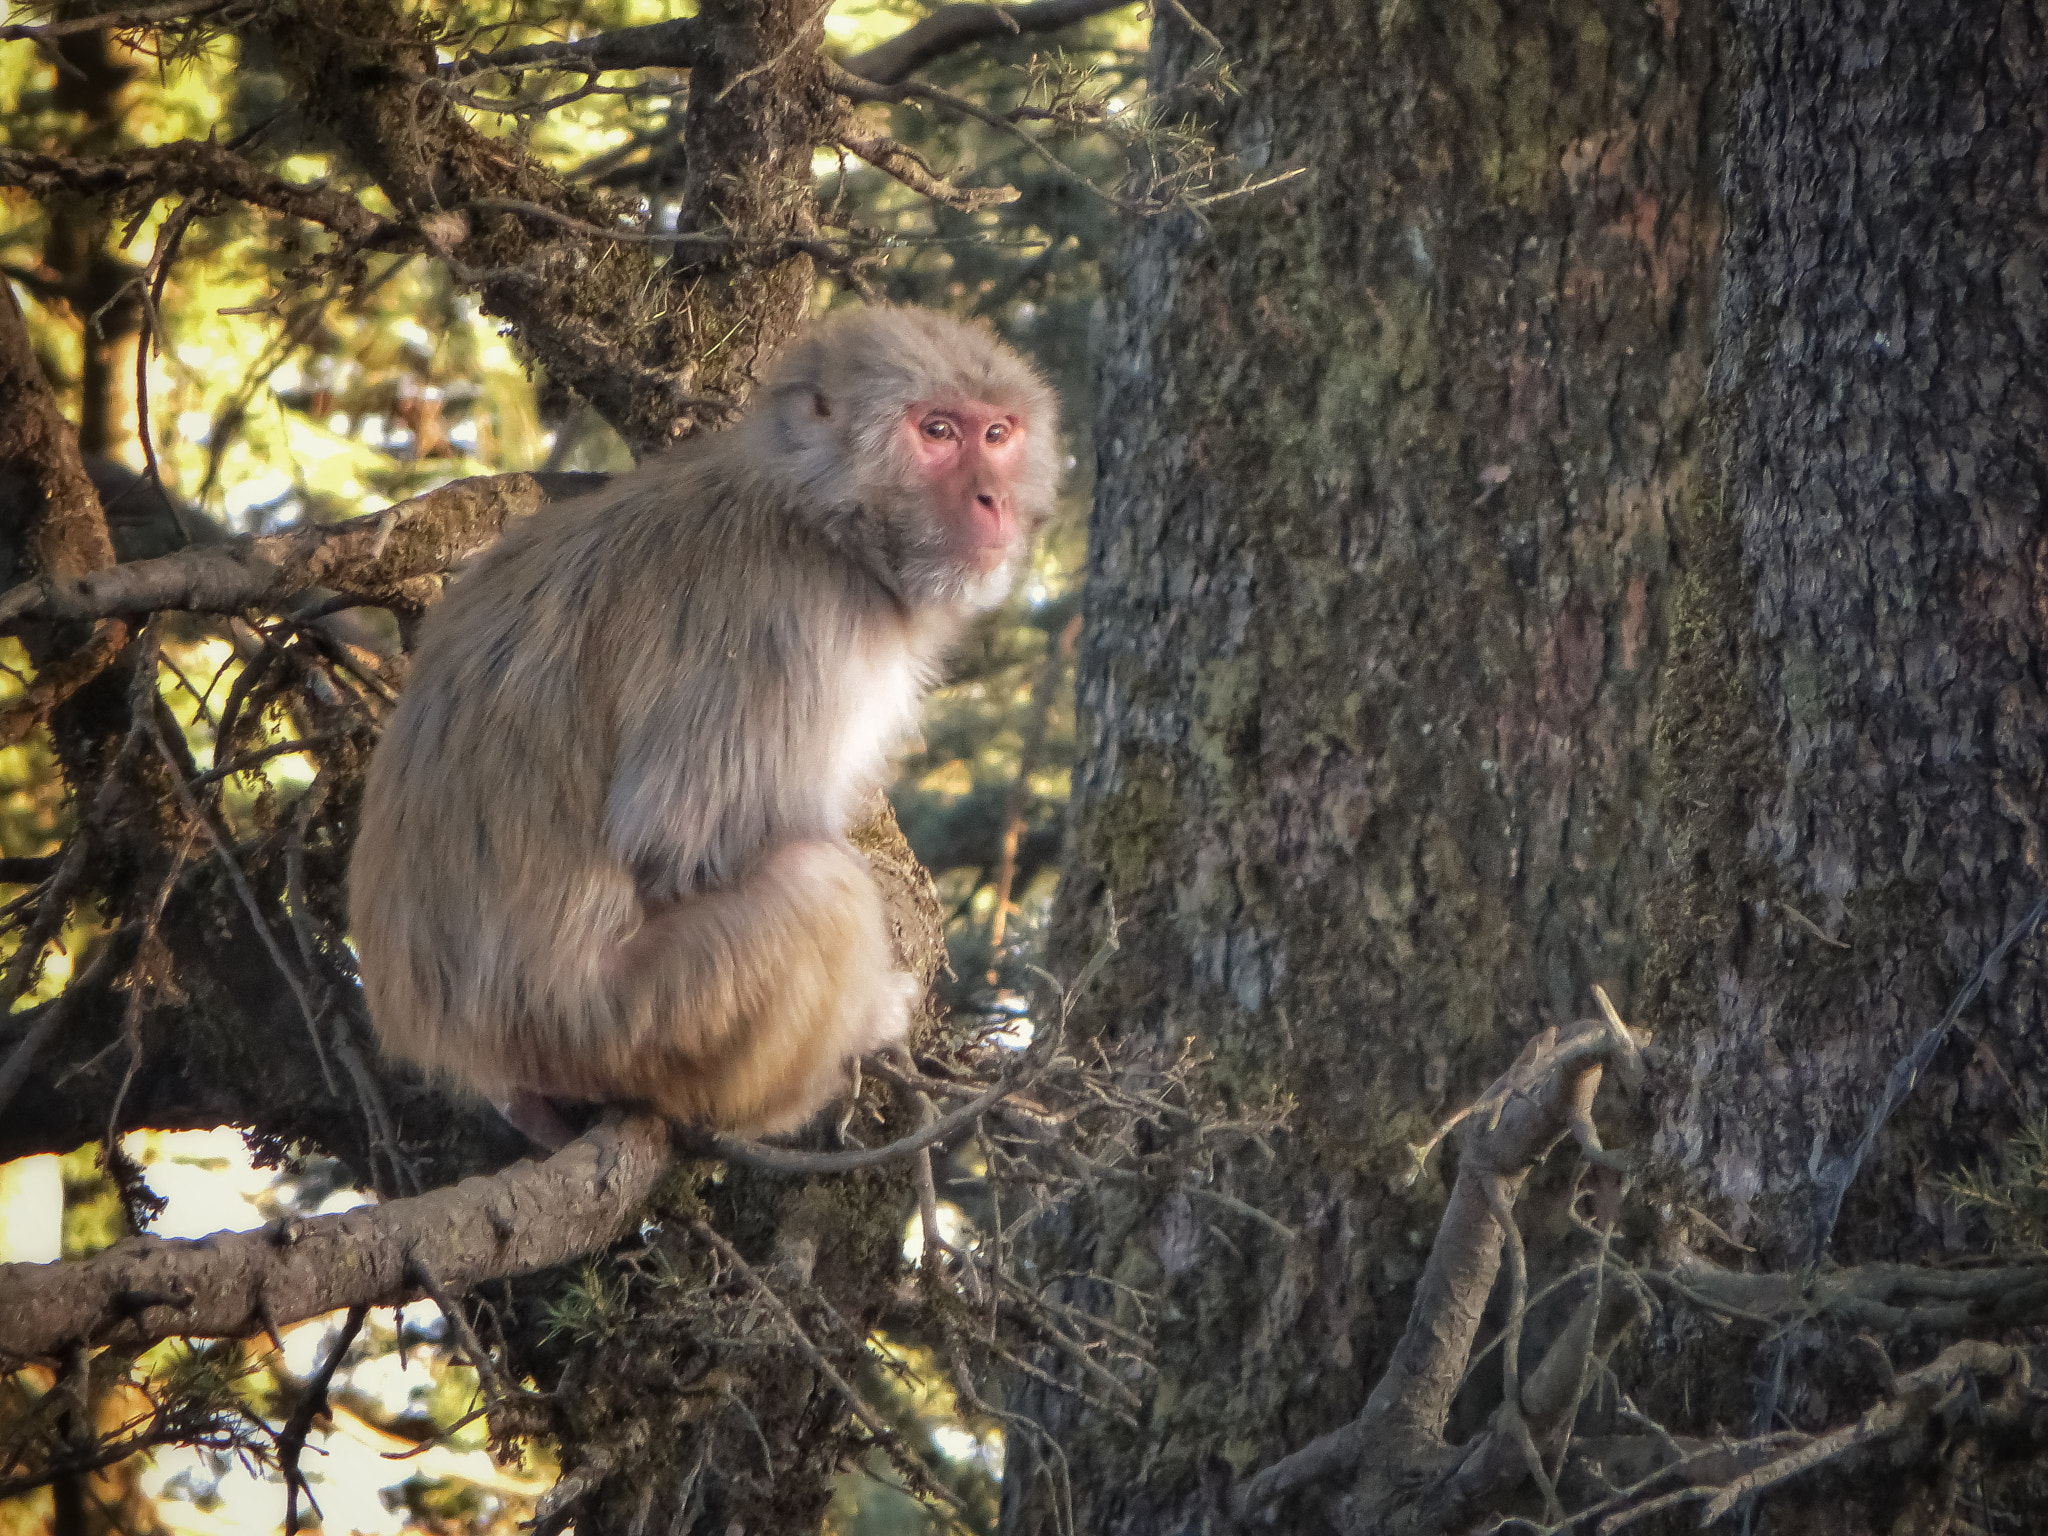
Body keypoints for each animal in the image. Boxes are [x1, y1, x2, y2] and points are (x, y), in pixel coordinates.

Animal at [346, 306, 1060, 1147]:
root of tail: (461, 1046)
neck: (816, 516)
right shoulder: (791, 621)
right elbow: (685, 839)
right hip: (624, 1024)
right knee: (817, 889)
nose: (992, 500)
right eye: (939, 431)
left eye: (997, 435)